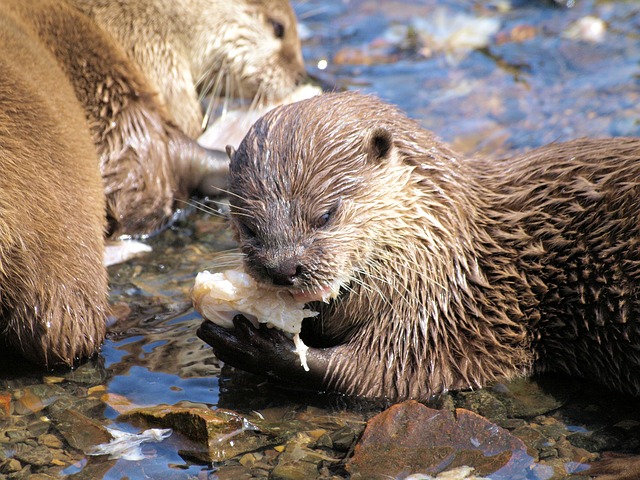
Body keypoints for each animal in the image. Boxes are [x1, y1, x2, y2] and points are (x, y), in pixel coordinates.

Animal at [199, 92, 640, 404]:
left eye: (325, 215)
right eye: (247, 226)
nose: (283, 268)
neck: (456, 257)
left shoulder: (446, 317)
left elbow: (389, 373)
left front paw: (256, 345)